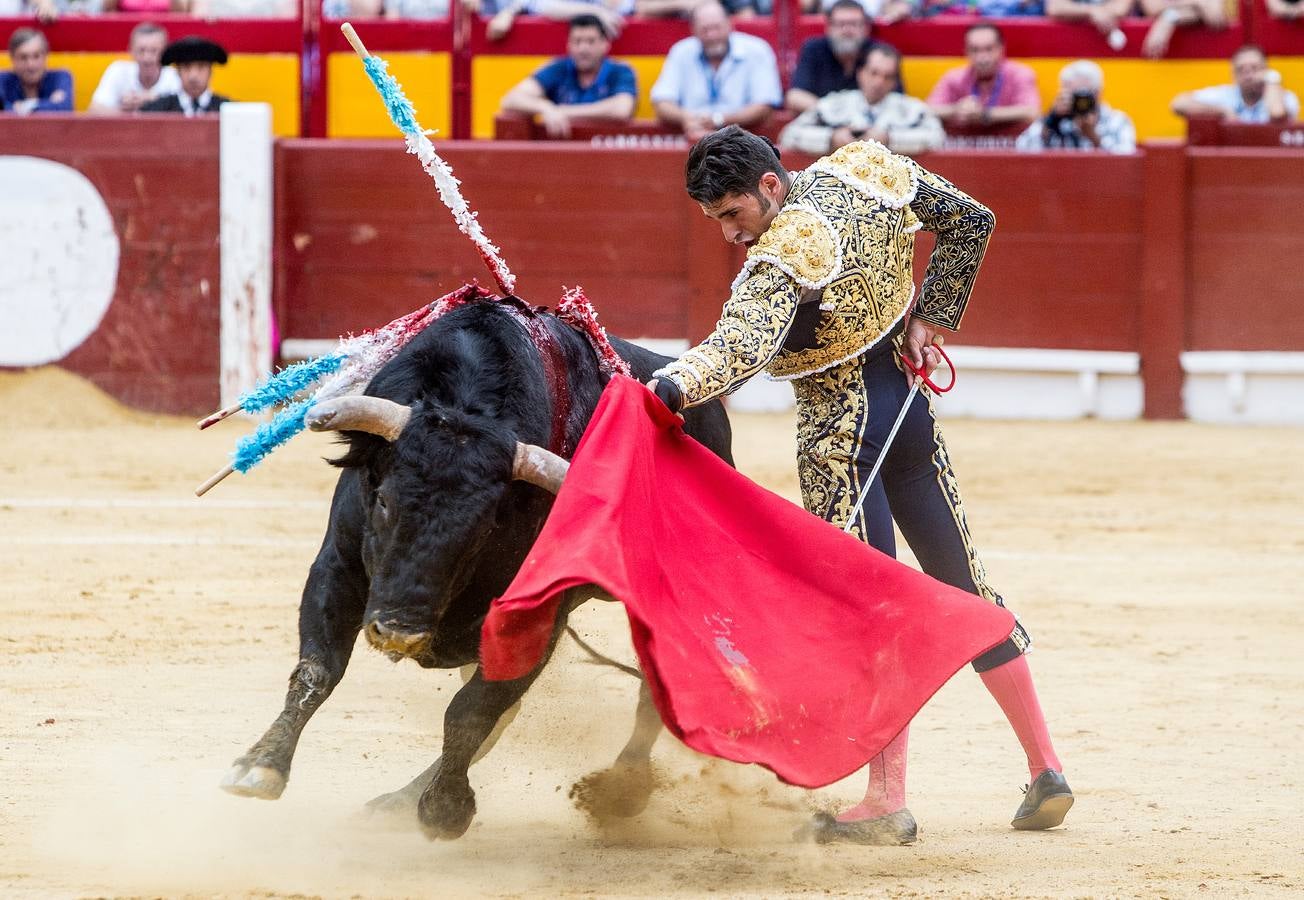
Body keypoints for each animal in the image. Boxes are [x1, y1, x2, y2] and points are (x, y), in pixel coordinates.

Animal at [222, 297, 735, 840]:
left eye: (486, 523)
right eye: (382, 500)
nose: (398, 631)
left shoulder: (536, 617)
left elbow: (469, 712)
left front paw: (445, 809)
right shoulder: (337, 567)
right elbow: (318, 670)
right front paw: (260, 766)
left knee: (658, 688)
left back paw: (618, 791)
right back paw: (400, 799)